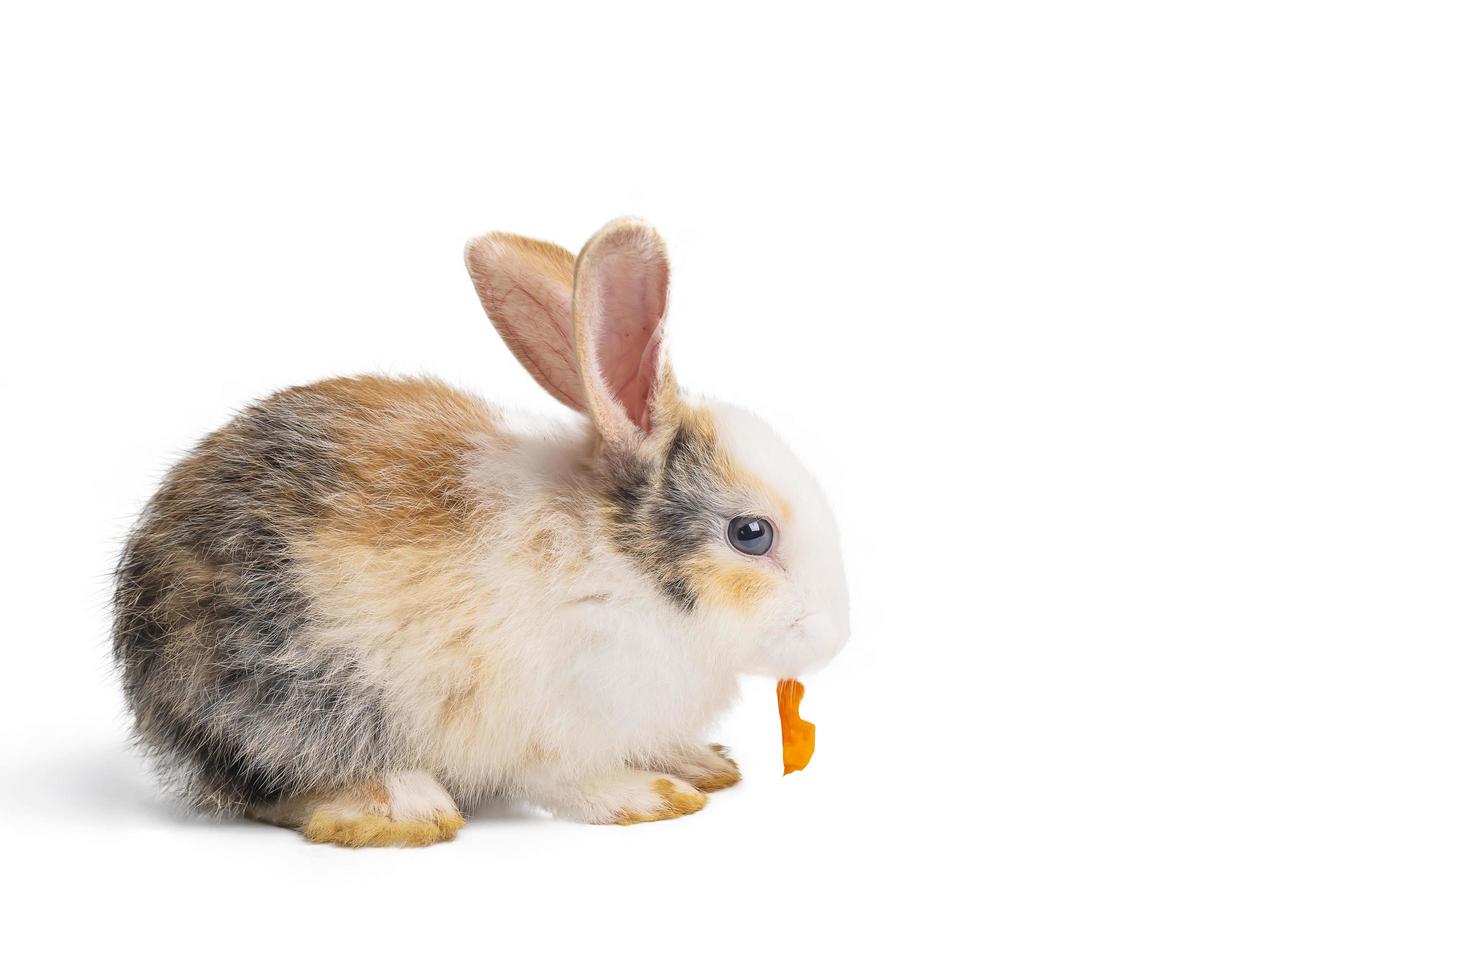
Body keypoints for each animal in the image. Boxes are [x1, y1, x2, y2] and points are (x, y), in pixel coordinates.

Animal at [111, 218, 852, 846]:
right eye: (750, 533)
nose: (835, 637)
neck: (620, 564)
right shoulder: (552, 724)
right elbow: (572, 780)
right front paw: (652, 798)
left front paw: (701, 764)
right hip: (295, 697)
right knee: (273, 788)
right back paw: (400, 807)